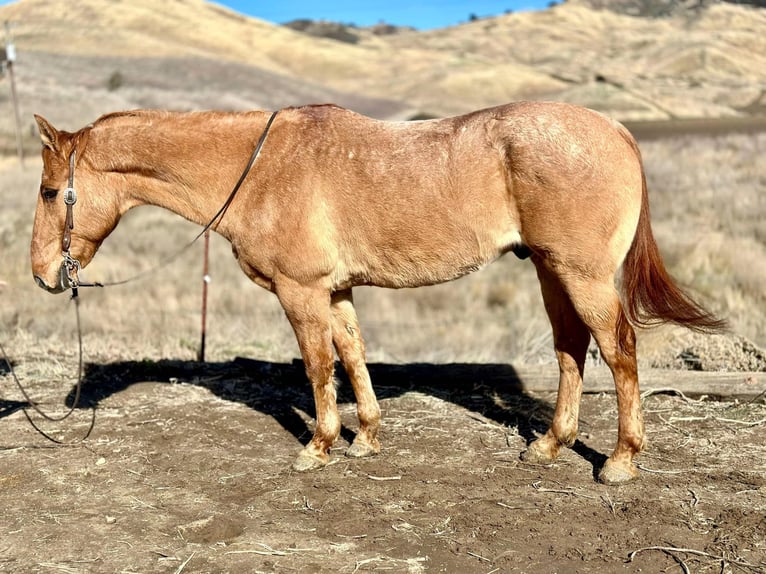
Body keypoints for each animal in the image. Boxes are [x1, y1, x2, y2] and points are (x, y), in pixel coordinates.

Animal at [30, 101, 724, 484]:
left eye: (48, 191)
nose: (42, 275)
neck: (258, 167)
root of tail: (617, 131)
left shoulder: (300, 293)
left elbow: (317, 366)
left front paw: (318, 447)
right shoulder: (335, 292)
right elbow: (353, 355)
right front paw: (365, 437)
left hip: (581, 275)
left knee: (620, 349)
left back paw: (621, 461)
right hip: (553, 273)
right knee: (571, 351)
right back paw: (550, 446)